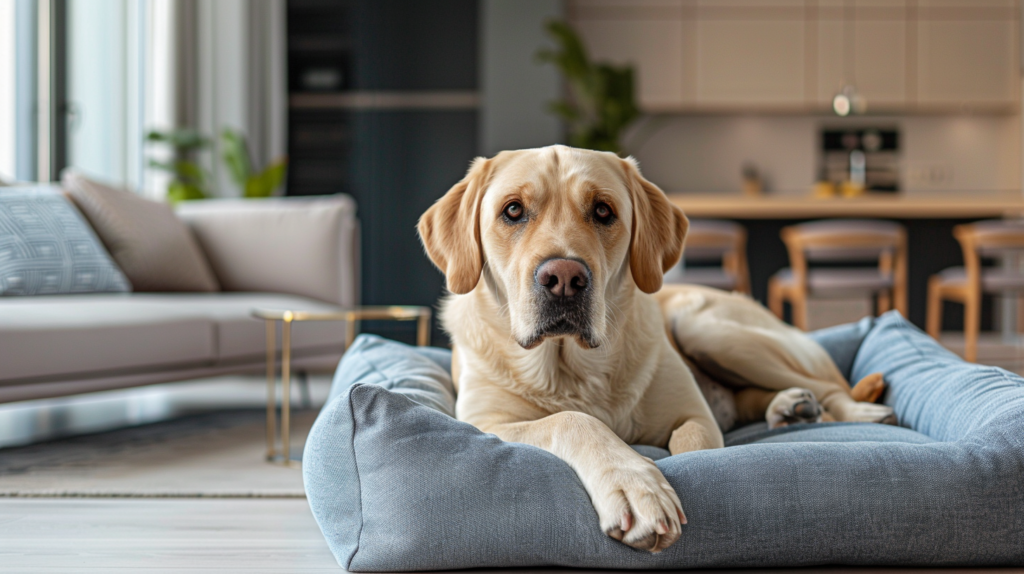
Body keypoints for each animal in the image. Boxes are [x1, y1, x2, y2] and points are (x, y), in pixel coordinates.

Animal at [415, 145, 897, 552]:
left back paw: (850, 409)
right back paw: (789, 407)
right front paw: (633, 485)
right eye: (512, 210)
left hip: (707, 328)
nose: (565, 278)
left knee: (828, 386)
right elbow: (573, 420)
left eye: (603, 211)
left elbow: (696, 448)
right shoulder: (486, 423)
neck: (574, 368)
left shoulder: (695, 414)